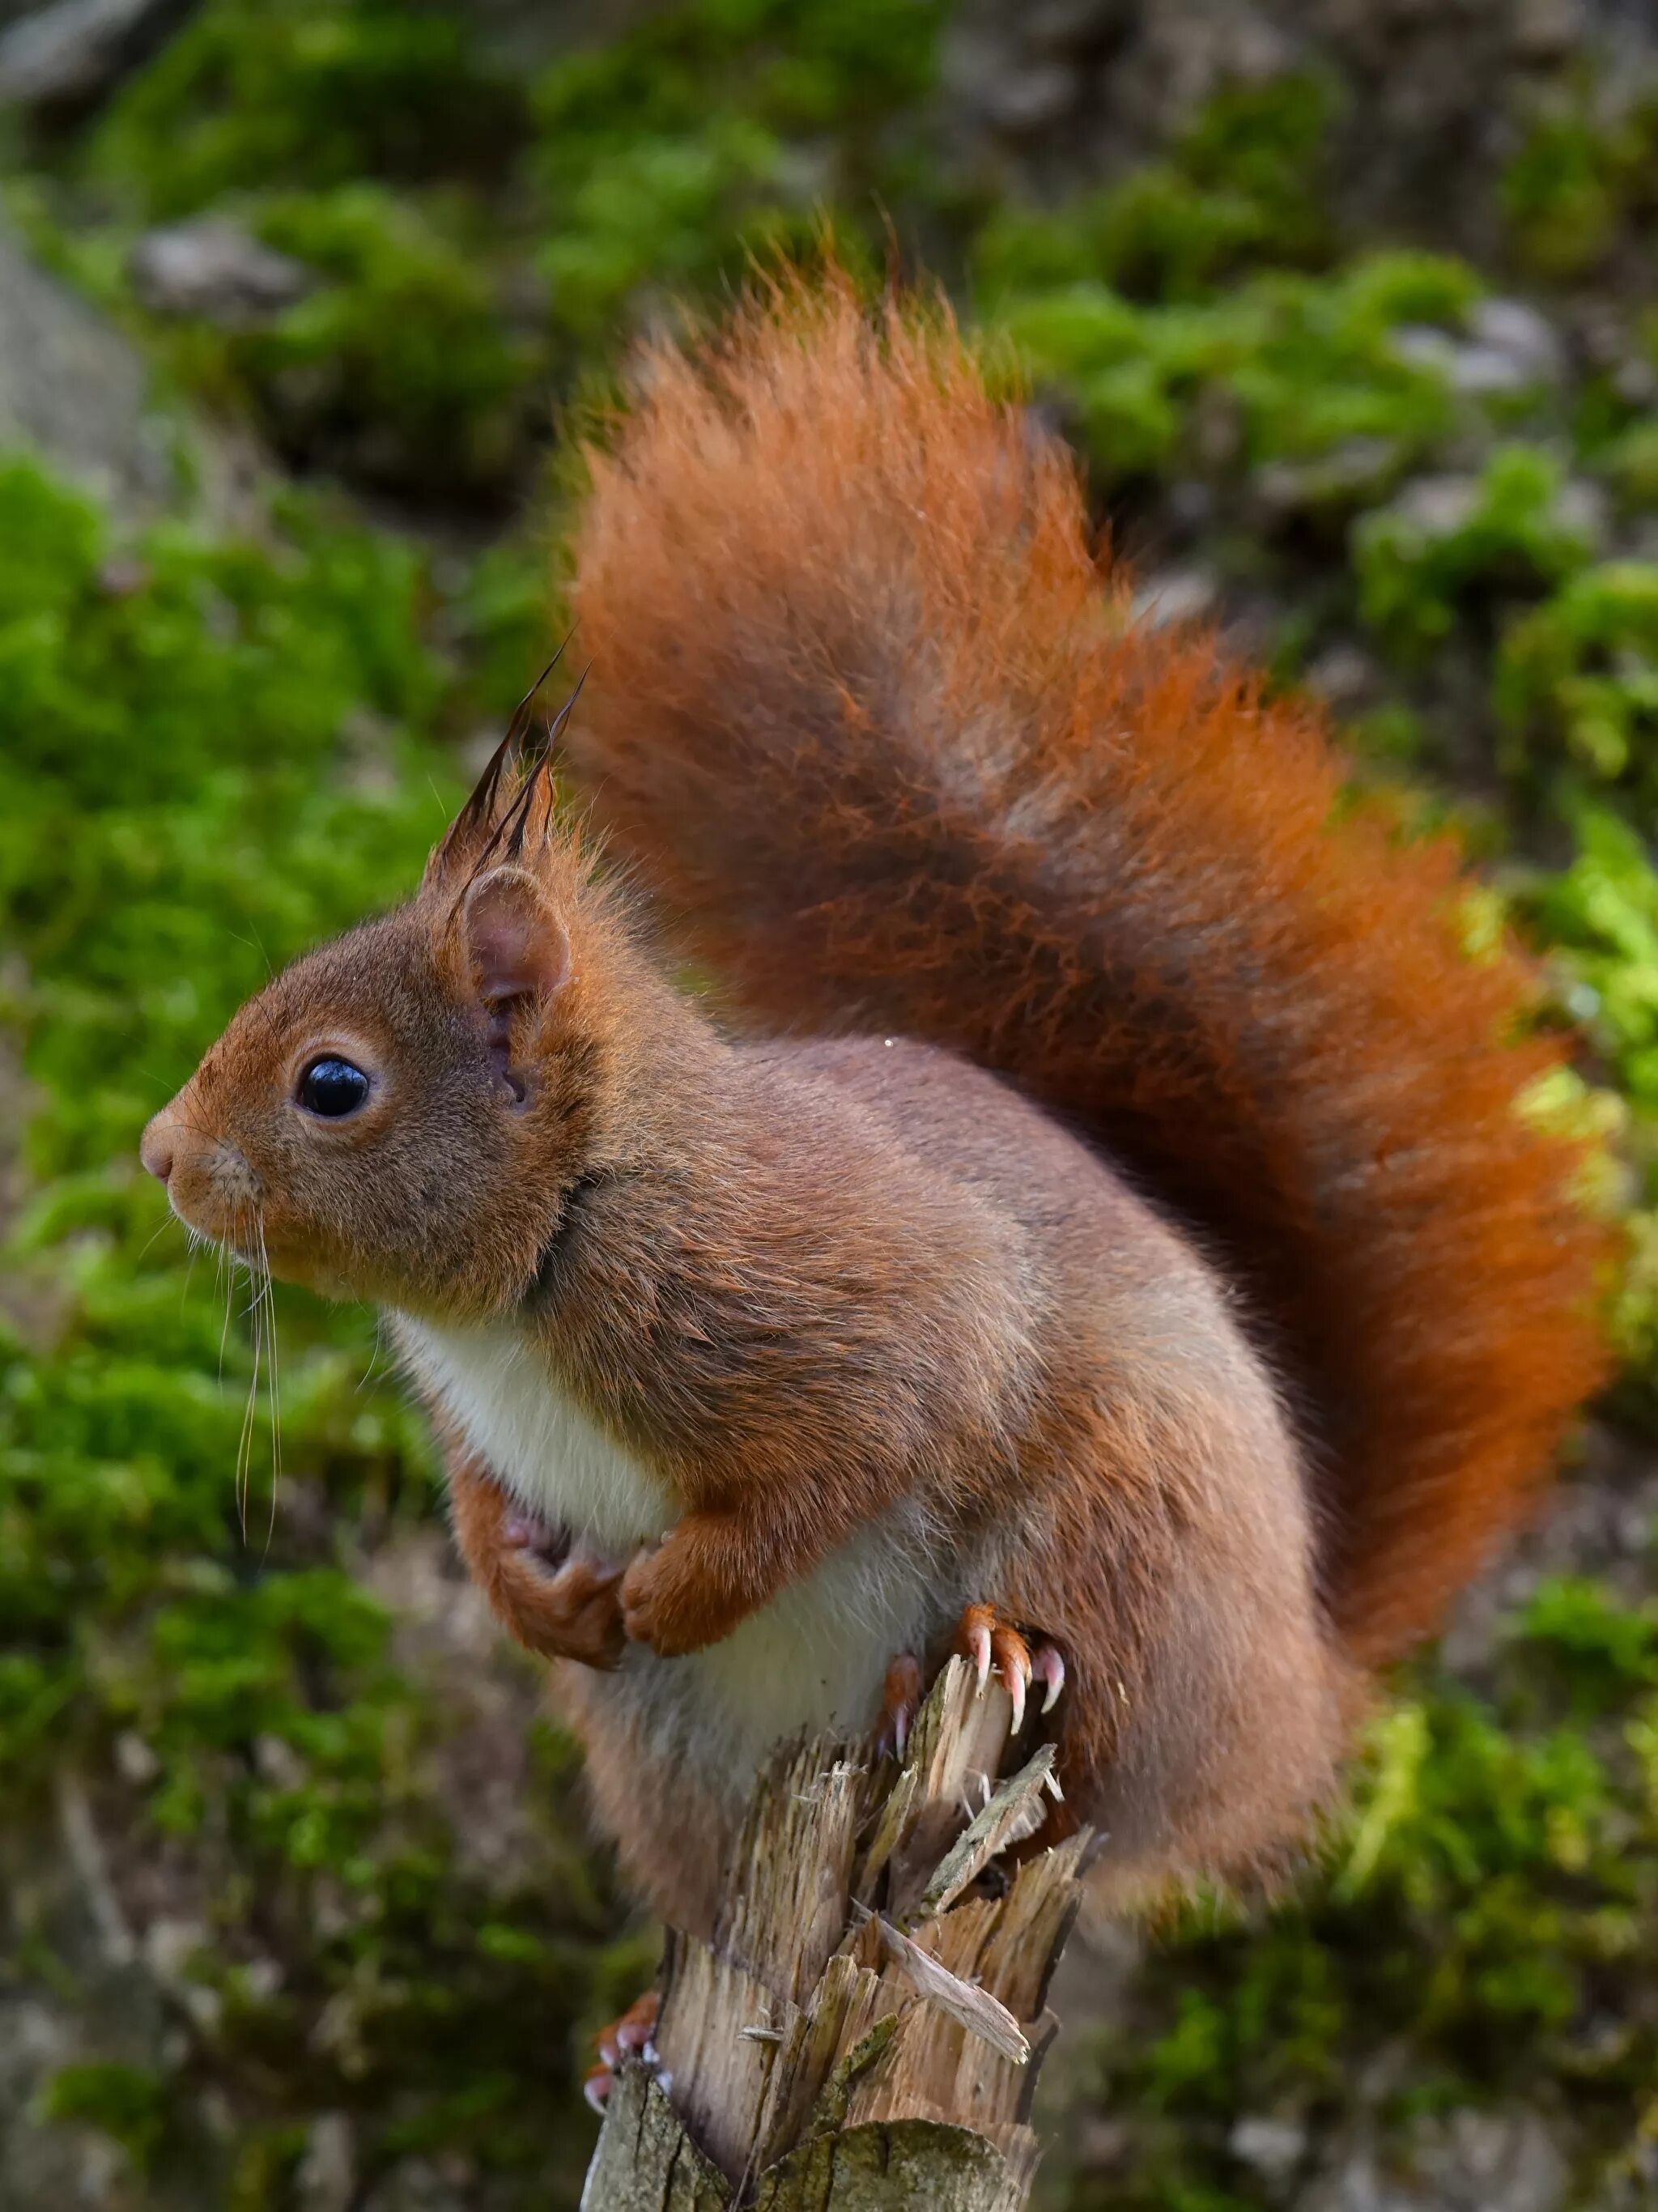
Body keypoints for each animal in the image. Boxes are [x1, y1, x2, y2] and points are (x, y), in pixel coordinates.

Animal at [136, 276, 1618, 1955]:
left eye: (332, 1084)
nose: (161, 1157)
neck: (563, 1239)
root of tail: (1297, 1700)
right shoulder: (491, 1427)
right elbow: (478, 1506)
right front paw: (535, 1596)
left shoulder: (840, 1309)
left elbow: (835, 1465)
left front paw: (673, 1590)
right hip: (670, 1756)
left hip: (1127, 1523)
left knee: (1094, 1736)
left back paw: (974, 1652)